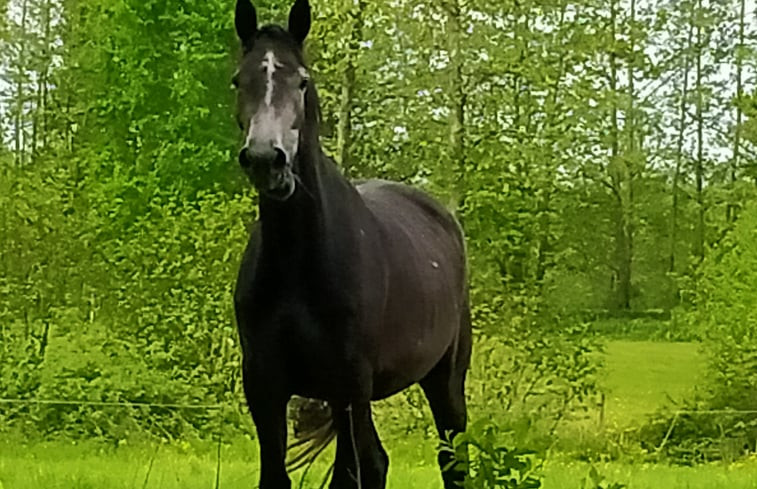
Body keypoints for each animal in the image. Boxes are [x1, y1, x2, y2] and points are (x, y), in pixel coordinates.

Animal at [232, 1, 472, 486]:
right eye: (238, 80)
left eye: (302, 81)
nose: (267, 161)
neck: (299, 261)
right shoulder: (263, 386)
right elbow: (276, 474)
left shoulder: (348, 381)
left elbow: (357, 469)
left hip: (443, 379)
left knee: (448, 460)